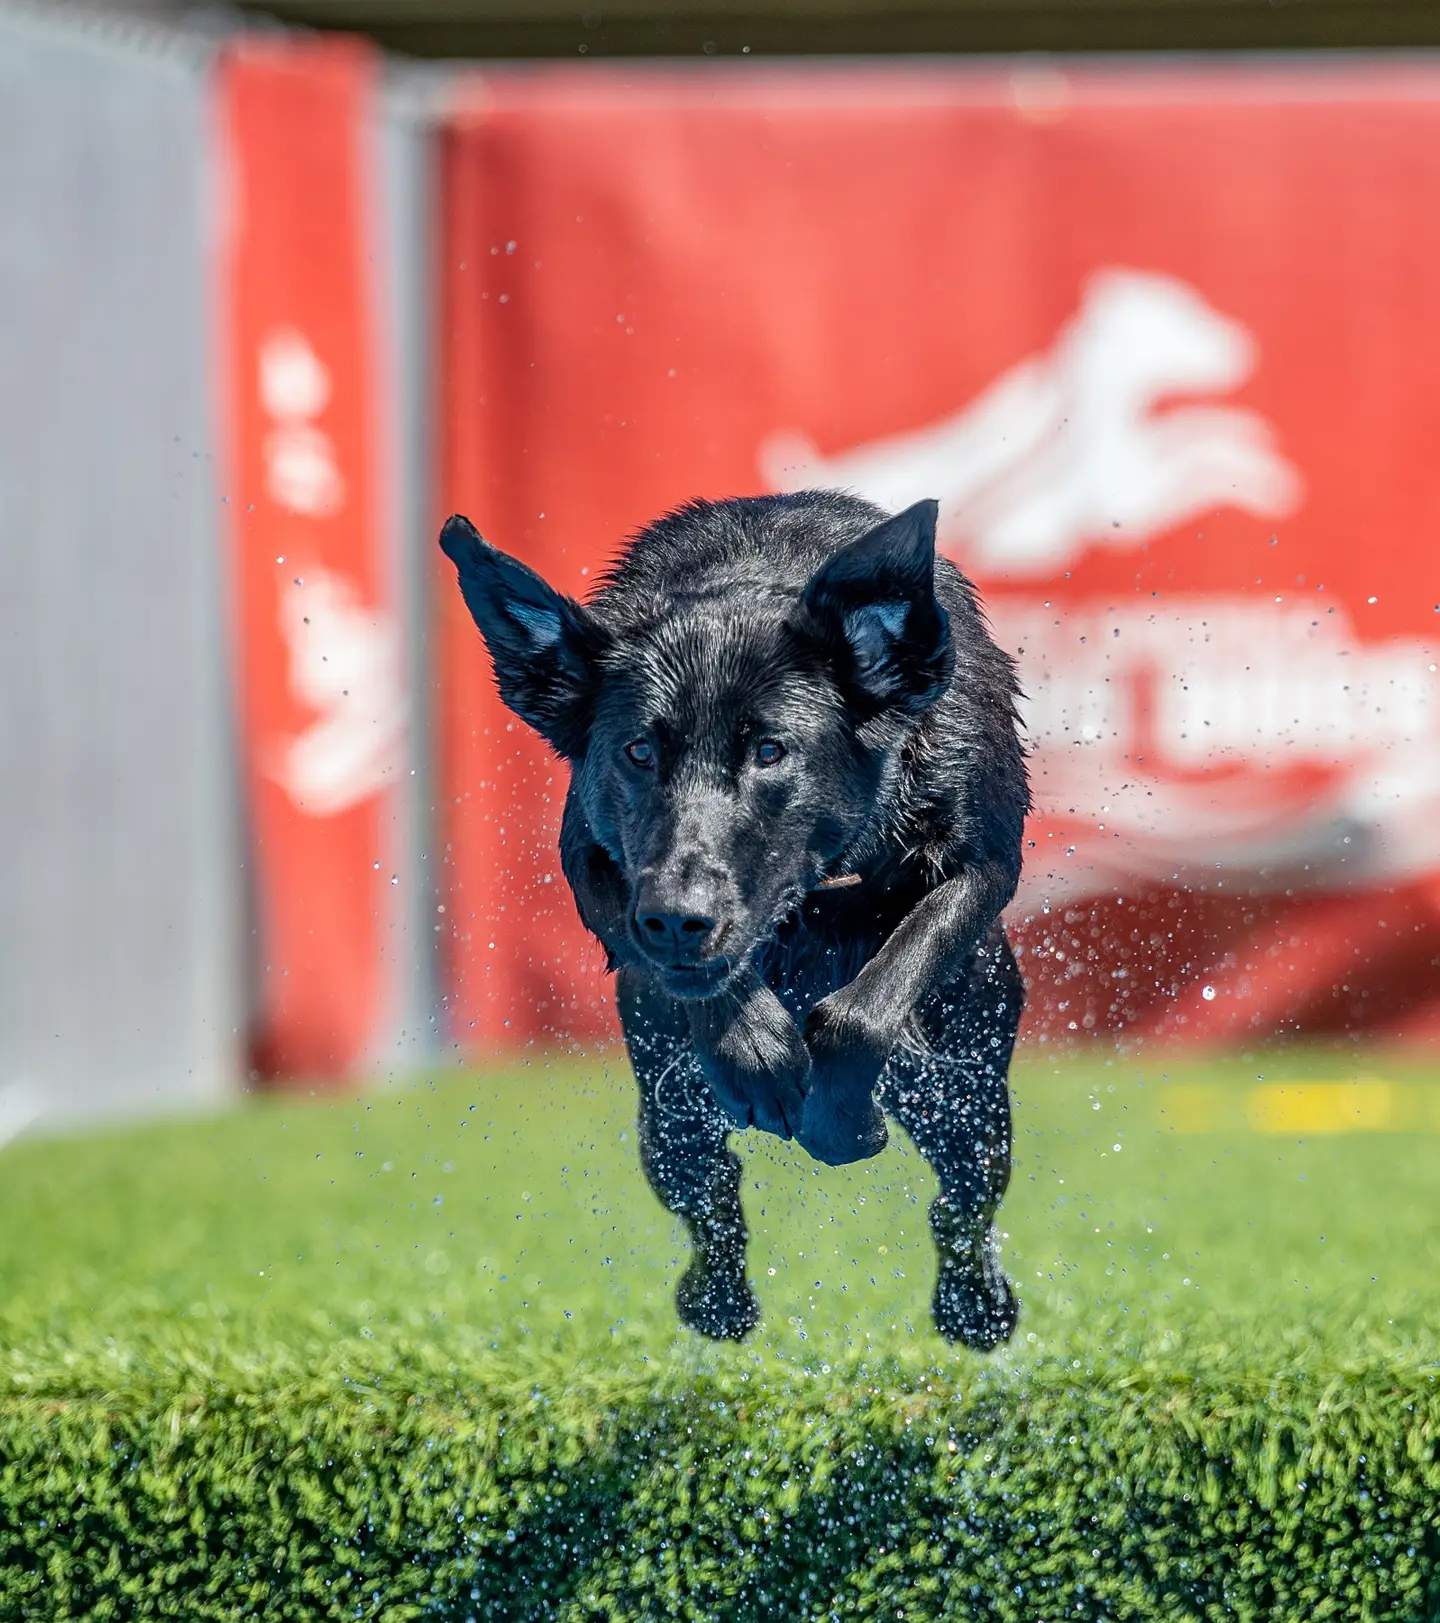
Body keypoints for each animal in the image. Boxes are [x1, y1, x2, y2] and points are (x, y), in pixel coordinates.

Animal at [438, 490, 1026, 1343]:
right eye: (638, 752)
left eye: (771, 750)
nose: (677, 917)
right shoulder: (594, 862)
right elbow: (686, 973)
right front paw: (757, 1052)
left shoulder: (982, 854)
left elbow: (864, 1008)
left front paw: (836, 1117)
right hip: (666, 1103)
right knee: (708, 1194)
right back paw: (716, 1299)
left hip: (974, 1082)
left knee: (962, 1196)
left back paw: (975, 1306)